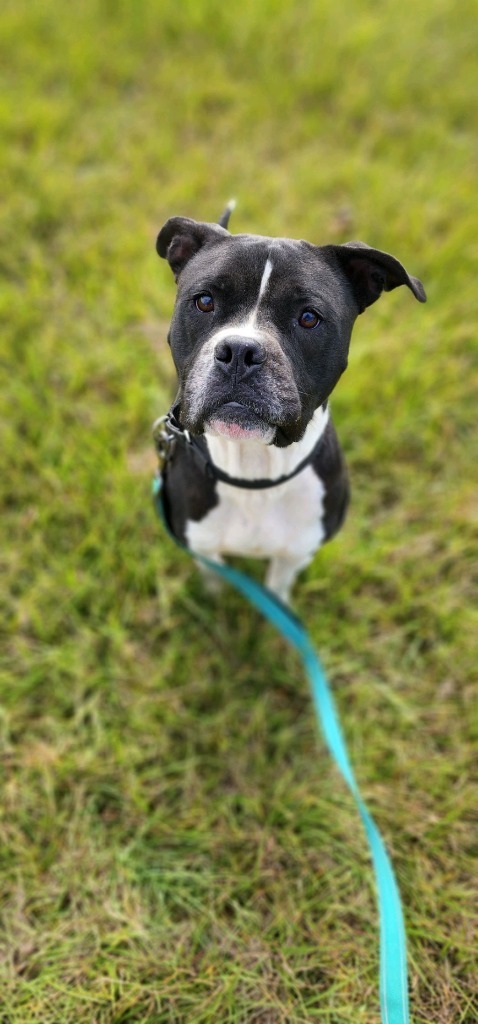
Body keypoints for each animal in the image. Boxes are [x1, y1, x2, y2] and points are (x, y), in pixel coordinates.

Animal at [156, 204, 425, 602]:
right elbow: (214, 574)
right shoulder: (200, 542)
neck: (254, 471)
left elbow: (277, 587)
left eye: (309, 318)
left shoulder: (298, 550)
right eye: (204, 301)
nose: (240, 351)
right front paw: (214, 599)